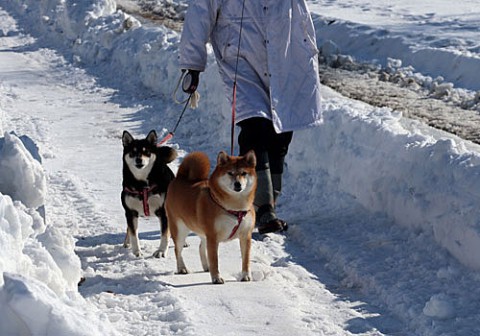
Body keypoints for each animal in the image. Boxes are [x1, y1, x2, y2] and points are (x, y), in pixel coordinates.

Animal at [165, 150, 256, 284]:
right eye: (230, 173)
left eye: (244, 173)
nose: (237, 184)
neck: (235, 208)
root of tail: (180, 177)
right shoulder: (213, 236)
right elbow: (215, 260)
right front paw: (216, 277)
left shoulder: (246, 235)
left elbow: (246, 259)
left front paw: (245, 276)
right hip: (180, 229)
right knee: (178, 249)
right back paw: (182, 268)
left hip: (203, 232)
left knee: (201, 247)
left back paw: (206, 266)